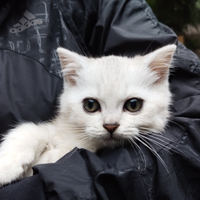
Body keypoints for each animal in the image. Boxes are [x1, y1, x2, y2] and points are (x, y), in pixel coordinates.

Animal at [0, 44, 176, 186]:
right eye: (90, 105)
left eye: (133, 105)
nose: (110, 126)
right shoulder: (56, 127)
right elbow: (28, 130)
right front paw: (6, 166)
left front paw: (47, 159)